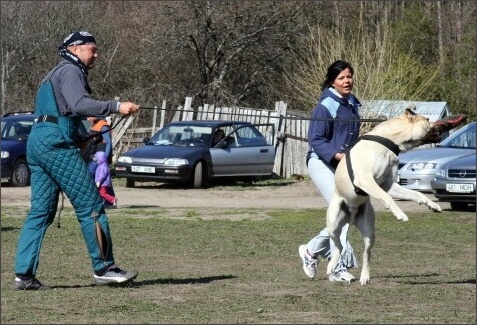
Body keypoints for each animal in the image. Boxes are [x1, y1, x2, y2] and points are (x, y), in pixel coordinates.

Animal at [328, 107, 462, 284]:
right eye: (427, 120)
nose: (442, 126)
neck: (386, 141)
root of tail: (351, 216)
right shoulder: (365, 179)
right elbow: (387, 197)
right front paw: (399, 213)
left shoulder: (389, 185)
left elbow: (415, 194)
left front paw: (431, 204)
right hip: (333, 223)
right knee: (338, 245)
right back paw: (331, 266)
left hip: (369, 230)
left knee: (366, 253)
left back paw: (364, 276)